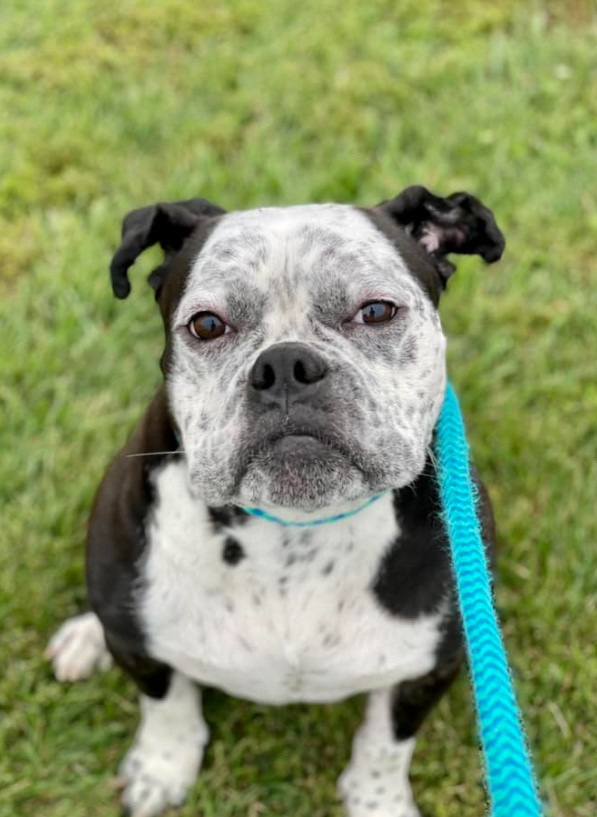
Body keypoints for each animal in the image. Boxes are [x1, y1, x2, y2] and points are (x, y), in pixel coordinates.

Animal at [47, 185, 502, 816]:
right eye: (207, 325)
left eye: (376, 311)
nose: (286, 364)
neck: (296, 529)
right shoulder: (140, 648)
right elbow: (167, 705)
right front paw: (163, 767)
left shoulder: (430, 667)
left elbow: (386, 743)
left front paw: (377, 800)